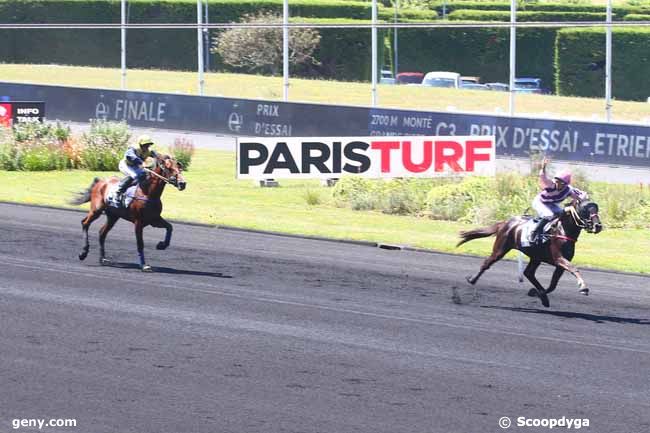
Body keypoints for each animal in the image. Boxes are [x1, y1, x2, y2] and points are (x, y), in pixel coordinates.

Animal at [456, 200, 604, 306]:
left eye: (597, 209)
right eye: (585, 209)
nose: (598, 226)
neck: (562, 231)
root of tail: (505, 222)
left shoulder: (559, 265)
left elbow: (553, 284)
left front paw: (537, 294)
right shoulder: (558, 258)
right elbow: (573, 269)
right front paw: (583, 287)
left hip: (535, 257)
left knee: (529, 273)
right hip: (500, 248)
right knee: (487, 263)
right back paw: (472, 279)